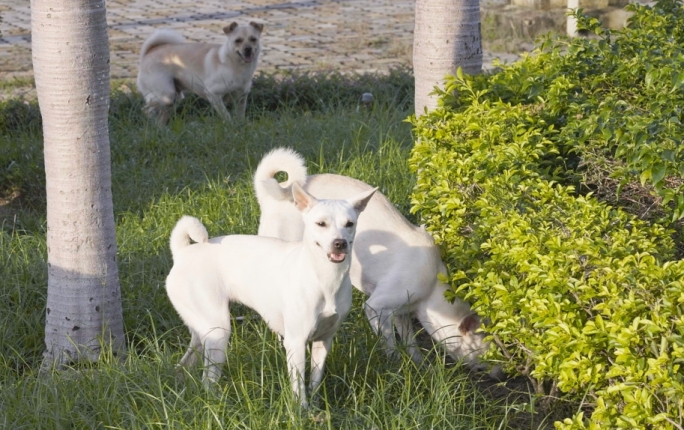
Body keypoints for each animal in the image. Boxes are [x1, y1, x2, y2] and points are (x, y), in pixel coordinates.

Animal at [167, 181, 380, 406]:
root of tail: (182, 253)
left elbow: (314, 381)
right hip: (218, 332)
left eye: (349, 224)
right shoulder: (295, 343)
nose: (340, 243)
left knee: (185, 365)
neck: (325, 278)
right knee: (208, 380)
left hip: (203, 332)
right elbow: (299, 387)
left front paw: (315, 406)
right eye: (321, 224)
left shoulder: (324, 341)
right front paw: (302, 410)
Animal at [254, 149, 504, 380]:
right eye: (491, 356)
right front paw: (397, 368)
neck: (432, 287)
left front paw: (420, 366)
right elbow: (391, 345)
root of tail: (279, 191)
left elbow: (411, 342)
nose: (503, 374)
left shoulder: (402, 313)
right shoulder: (376, 308)